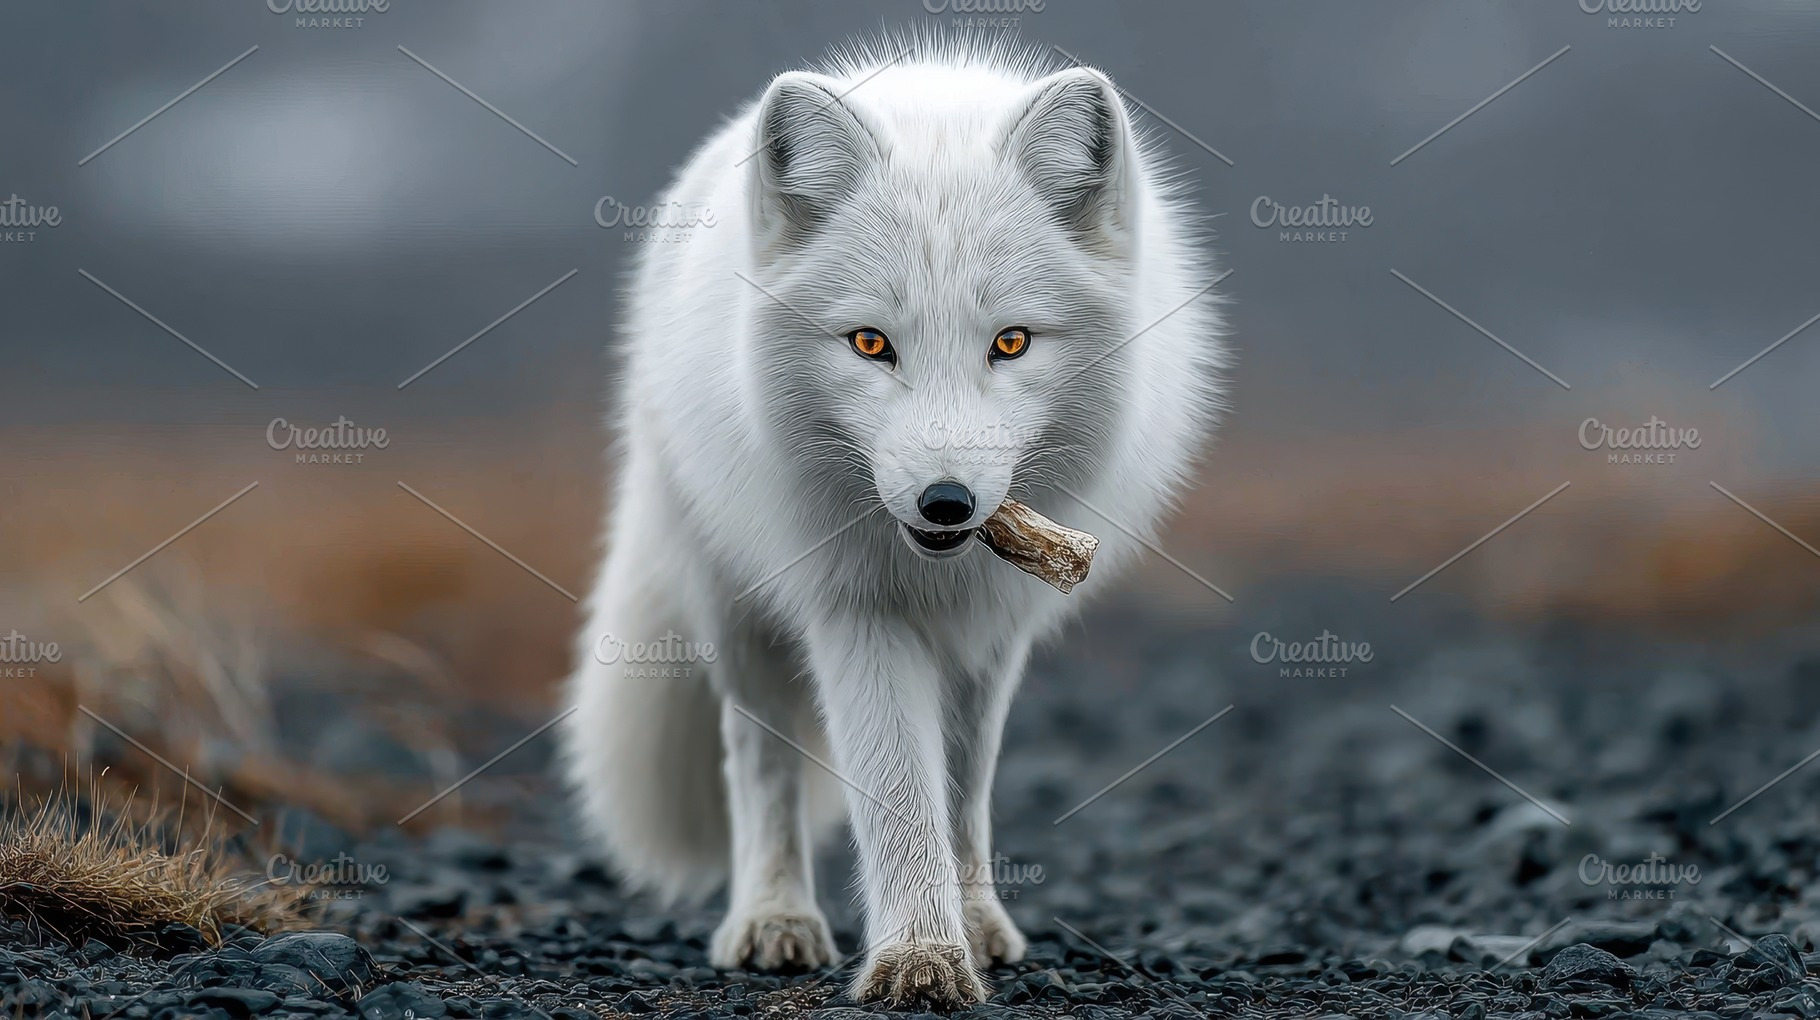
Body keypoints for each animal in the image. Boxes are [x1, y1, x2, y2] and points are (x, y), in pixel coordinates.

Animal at [561, 34, 1227, 1009]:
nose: (945, 501)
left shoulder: (992, 630)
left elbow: (963, 791)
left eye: (1011, 342)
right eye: (871, 344)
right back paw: (772, 917)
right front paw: (920, 956)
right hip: (731, 602)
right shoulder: (855, 609)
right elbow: (897, 790)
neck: (933, 573)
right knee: (756, 760)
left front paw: (973, 928)